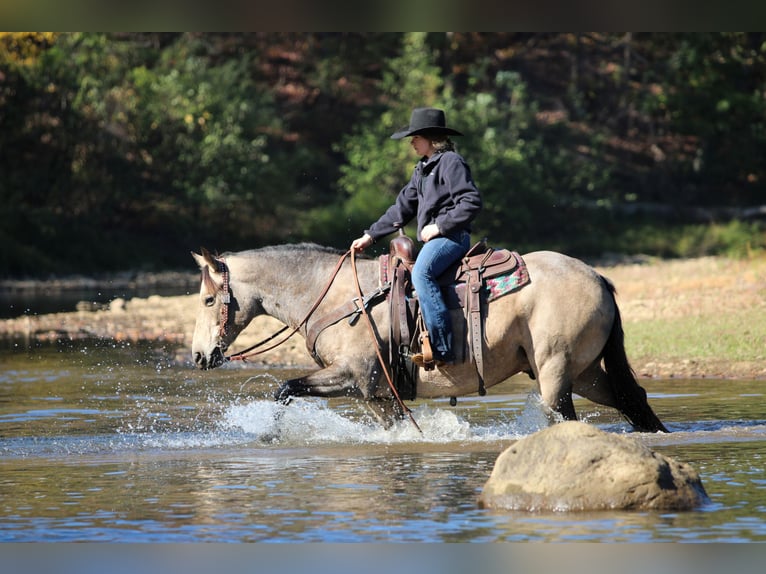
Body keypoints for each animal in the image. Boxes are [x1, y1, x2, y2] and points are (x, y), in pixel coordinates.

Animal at [191, 243, 669, 433]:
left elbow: (285, 388)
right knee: (633, 401)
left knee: (565, 416)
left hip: (556, 373)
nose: (198, 356)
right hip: (586, 373)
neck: (342, 299)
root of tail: (598, 278)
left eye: (208, 299)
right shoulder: (379, 396)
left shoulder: (352, 376)